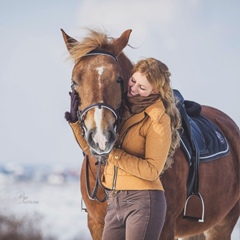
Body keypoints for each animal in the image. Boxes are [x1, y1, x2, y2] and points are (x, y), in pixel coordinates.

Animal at [62, 28, 240, 240]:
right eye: (74, 82)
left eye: (119, 79)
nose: (101, 138)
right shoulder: (97, 225)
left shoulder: (164, 227)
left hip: (221, 225)